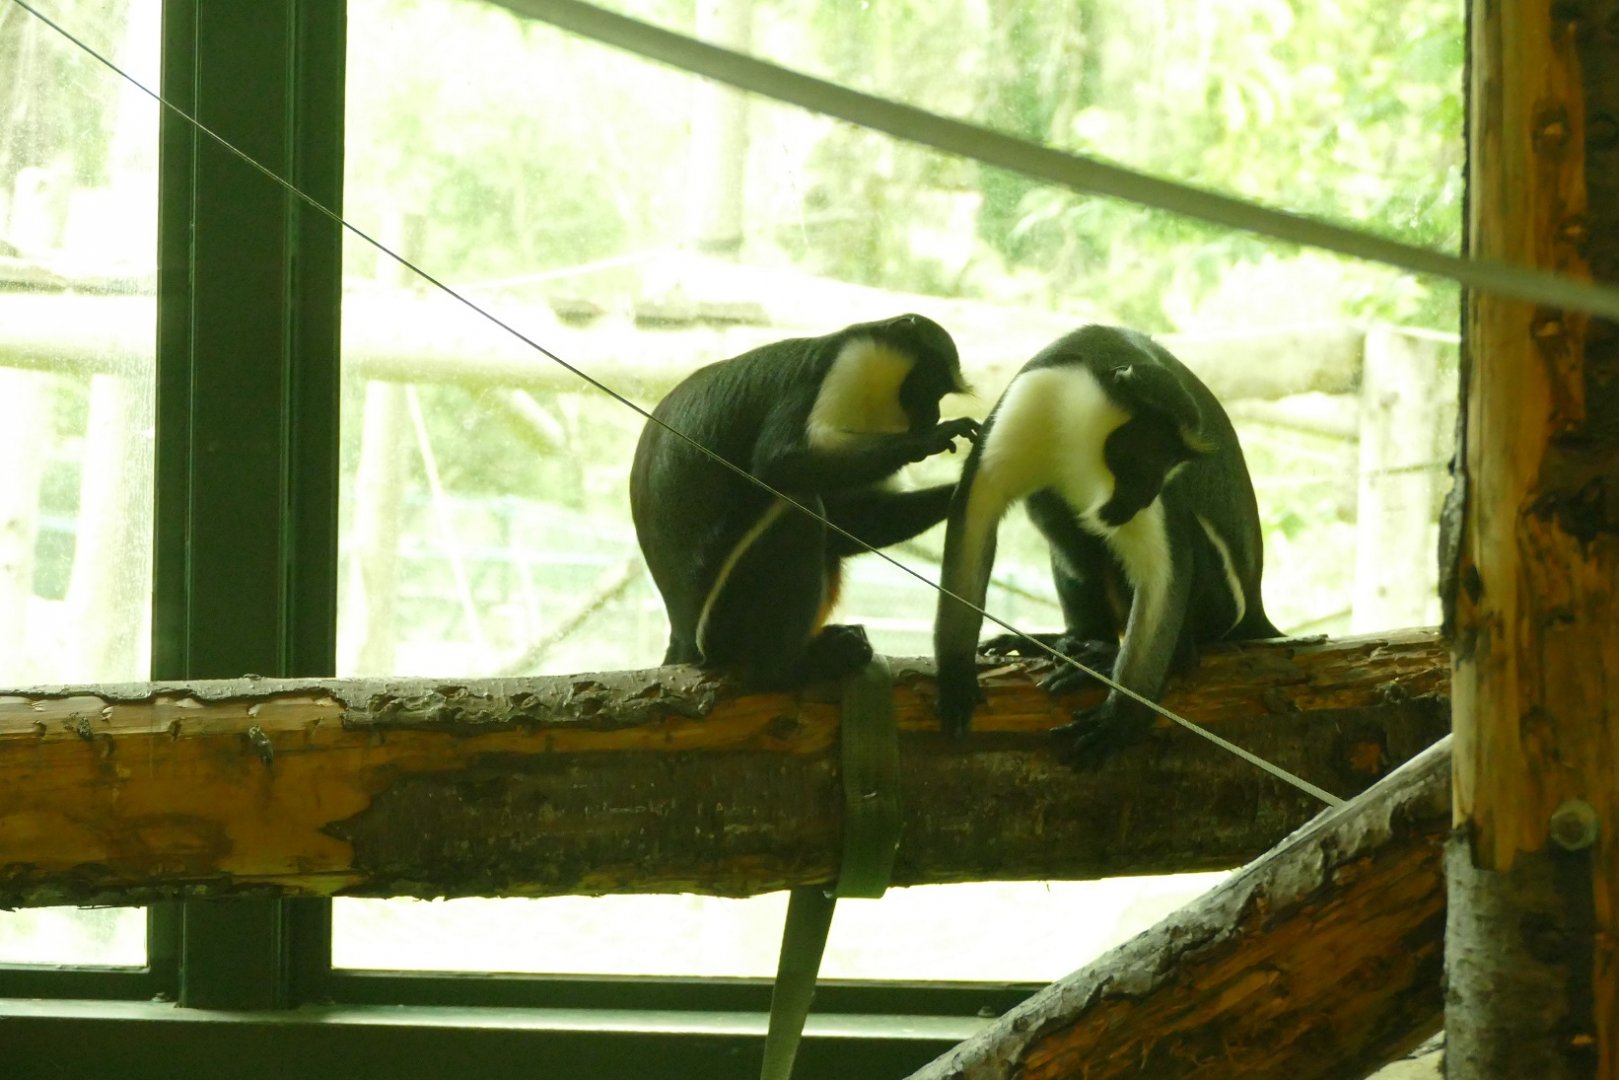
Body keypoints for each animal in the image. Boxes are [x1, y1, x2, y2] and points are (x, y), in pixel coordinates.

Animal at [631, 313, 979, 690]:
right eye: (929, 387)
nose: (933, 415)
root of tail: (684, 638)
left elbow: (845, 524)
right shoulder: (840, 370)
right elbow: (779, 463)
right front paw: (931, 439)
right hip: (726, 619)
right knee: (800, 508)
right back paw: (790, 666)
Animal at [932, 324, 1279, 764]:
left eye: (1171, 466)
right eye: (1150, 455)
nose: (1144, 496)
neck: (1082, 442)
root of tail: (1254, 607)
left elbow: (1163, 573)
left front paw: (1122, 718)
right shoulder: (1030, 399)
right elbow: (976, 512)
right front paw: (956, 672)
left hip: (1217, 604)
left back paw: (1110, 656)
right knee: (1053, 510)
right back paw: (1069, 641)